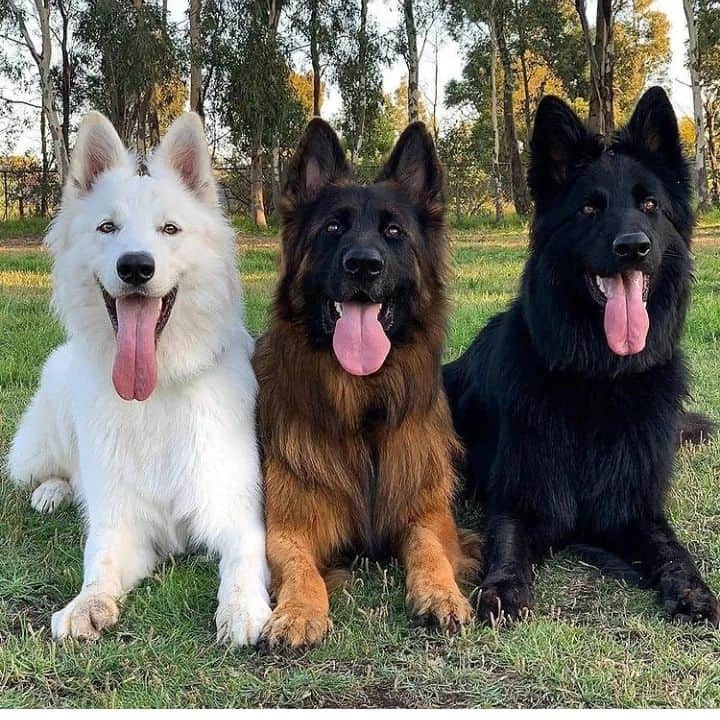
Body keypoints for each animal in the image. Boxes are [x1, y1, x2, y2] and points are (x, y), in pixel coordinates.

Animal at [7, 112, 272, 648]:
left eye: (170, 229)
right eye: (107, 227)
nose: (134, 266)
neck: (157, 391)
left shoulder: (237, 514)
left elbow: (242, 560)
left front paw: (241, 608)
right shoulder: (121, 525)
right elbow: (99, 562)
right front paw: (87, 605)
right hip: (41, 441)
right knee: (51, 471)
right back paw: (52, 492)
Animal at [444, 87, 720, 628]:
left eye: (650, 205)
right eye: (590, 209)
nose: (633, 247)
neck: (599, 379)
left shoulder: (635, 508)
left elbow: (670, 547)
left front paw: (693, 588)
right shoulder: (519, 499)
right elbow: (507, 542)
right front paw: (503, 587)